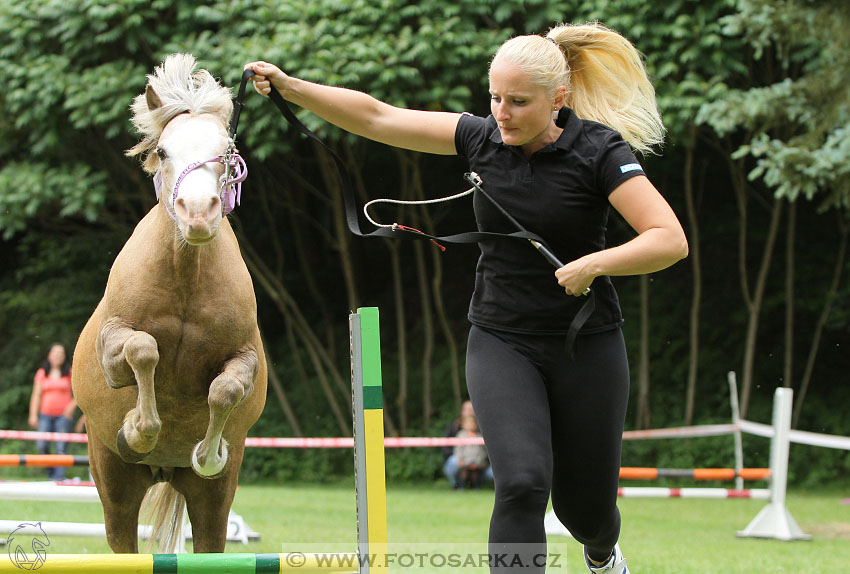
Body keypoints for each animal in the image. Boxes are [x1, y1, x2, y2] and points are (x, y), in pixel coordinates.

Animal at [71, 54, 266, 552]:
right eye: (162, 151)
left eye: (226, 152)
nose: (197, 213)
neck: (185, 279)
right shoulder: (112, 341)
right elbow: (143, 350)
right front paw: (138, 430)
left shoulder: (244, 355)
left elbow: (226, 389)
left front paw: (209, 452)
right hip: (114, 487)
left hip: (212, 504)